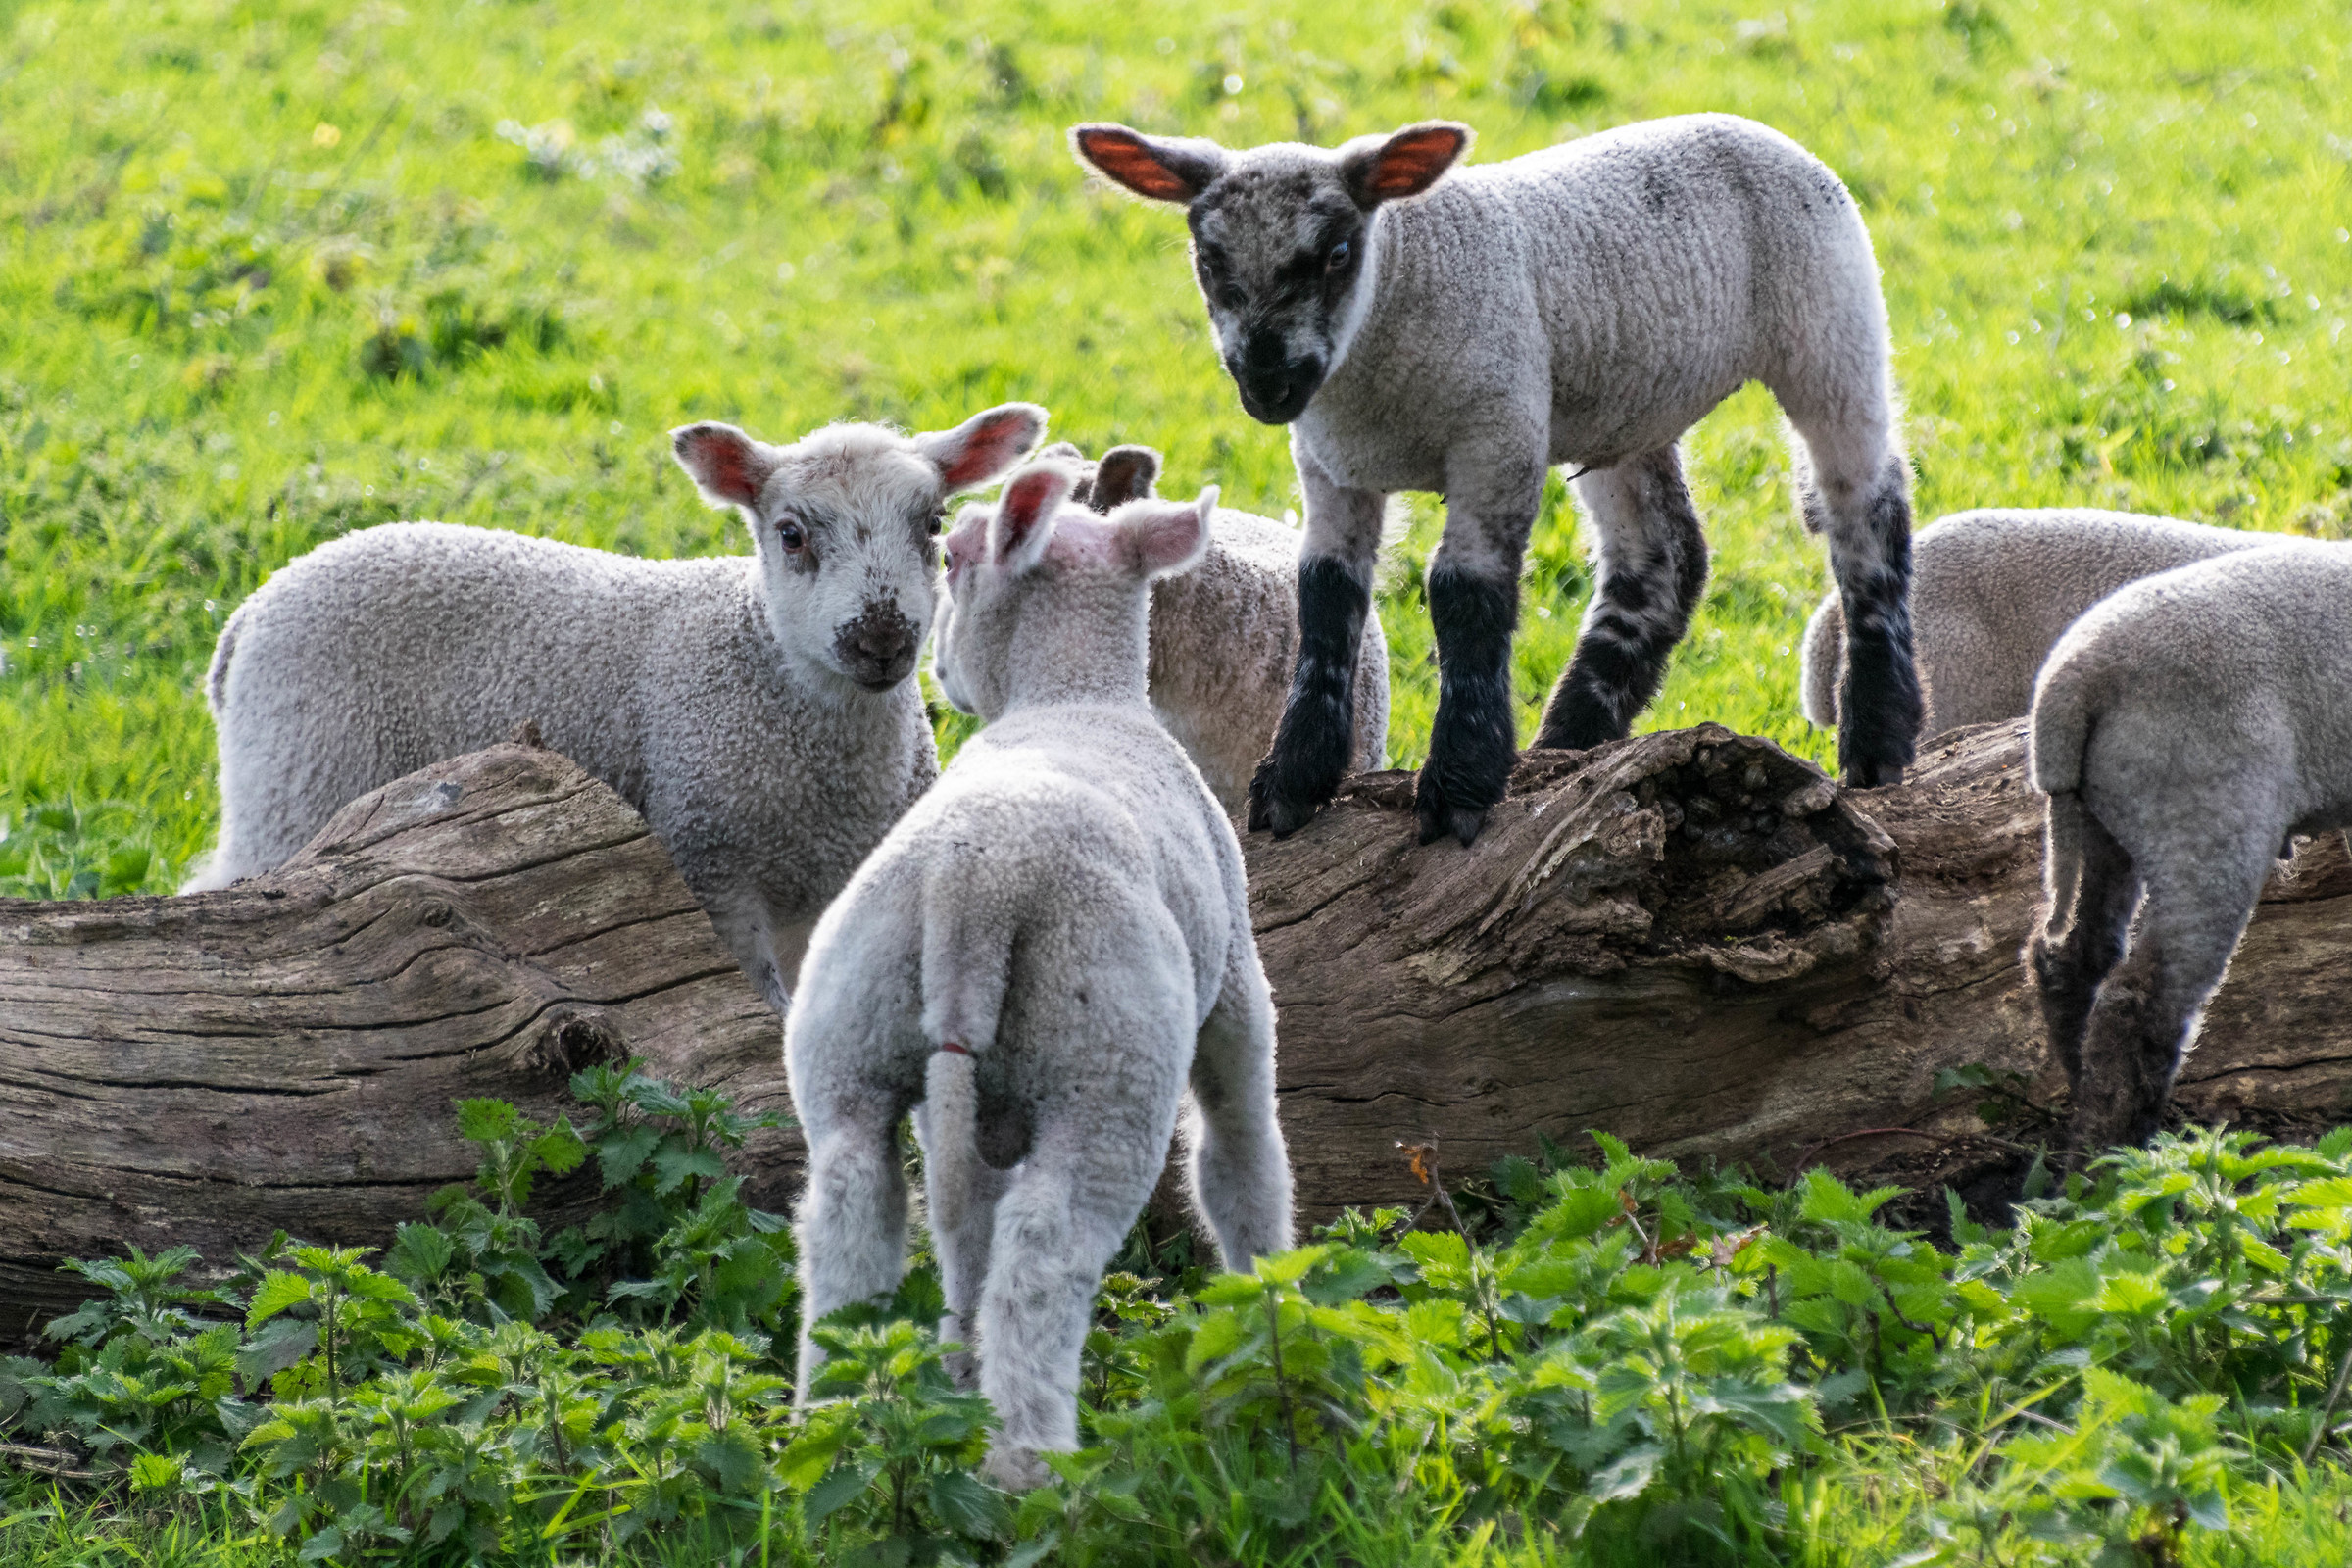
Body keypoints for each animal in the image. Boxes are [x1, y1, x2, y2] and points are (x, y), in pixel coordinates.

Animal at [184, 403, 1049, 1012]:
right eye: (791, 534)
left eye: (933, 524)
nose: (881, 639)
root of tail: (247, 616)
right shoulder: (708, 857)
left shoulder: (834, 879)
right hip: (301, 772)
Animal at [785, 460, 1293, 1490]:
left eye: (949, 555)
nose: (938, 672)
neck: (1076, 695)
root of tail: (974, 885)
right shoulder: (1233, 995)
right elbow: (1241, 1155)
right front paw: (1273, 1306)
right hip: (1110, 1062)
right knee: (1041, 1251)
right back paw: (1030, 1466)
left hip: (853, 1031)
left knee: (853, 1215)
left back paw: (837, 1426)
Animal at [1072, 112, 1918, 847]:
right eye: (1209, 259)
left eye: (1338, 251)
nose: (1267, 382)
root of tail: (1749, 126)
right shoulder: (1329, 466)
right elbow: (1326, 598)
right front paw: (1293, 781)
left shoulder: (1496, 440)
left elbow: (1463, 595)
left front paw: (1459, 788)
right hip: (1623, 408)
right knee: (1663, 559)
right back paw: (1570, 742)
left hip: (1832, 330)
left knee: (1866, 512)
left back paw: (1879, 740)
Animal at [2025, 543, 2352, 1153]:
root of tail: (2072, 682)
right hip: (2208, 823)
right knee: (2138, 1003)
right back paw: (2114, 1156)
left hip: (2102, 823)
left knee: (2074, 959)